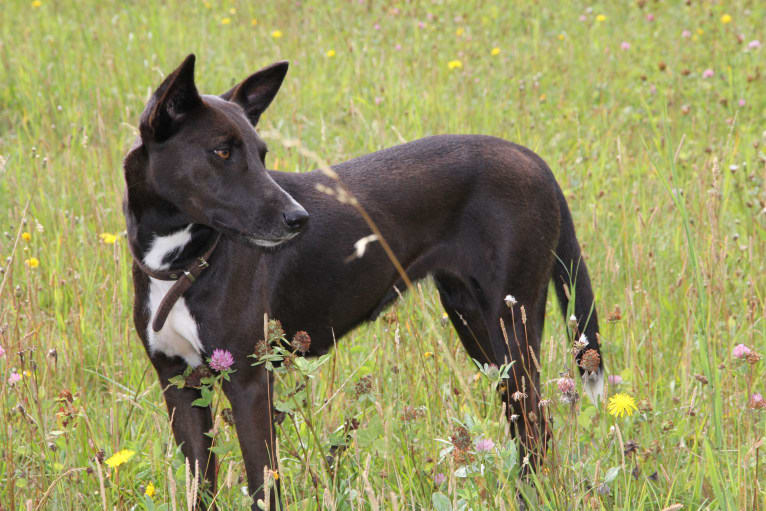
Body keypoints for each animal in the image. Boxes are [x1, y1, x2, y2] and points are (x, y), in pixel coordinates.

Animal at [124, 54, 608, 510]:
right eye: (222, 152)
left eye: (261, 155)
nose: (298, 219)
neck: (182, 264)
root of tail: (534, 161)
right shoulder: (178, 385)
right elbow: (199, 486)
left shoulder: (248, 383)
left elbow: (264, 485)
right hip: (478, 329)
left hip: (512, 327)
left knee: (537, 432)